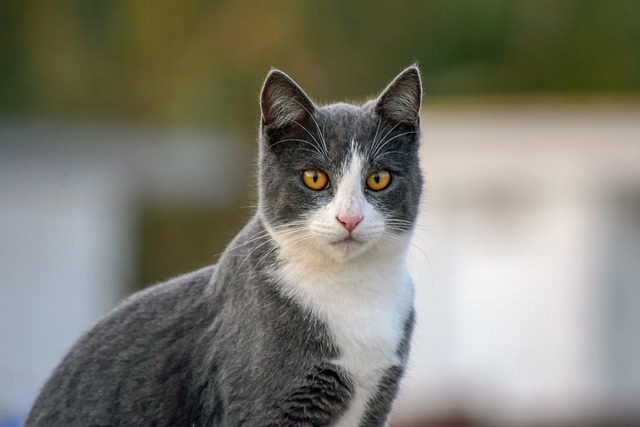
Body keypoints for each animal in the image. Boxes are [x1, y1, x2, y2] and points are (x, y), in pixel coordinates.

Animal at [26, 65, 424, 426]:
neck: (350, 289)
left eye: (378, 178)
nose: (349, 218)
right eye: (314, 177)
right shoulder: (261, 406)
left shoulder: (377, 400)